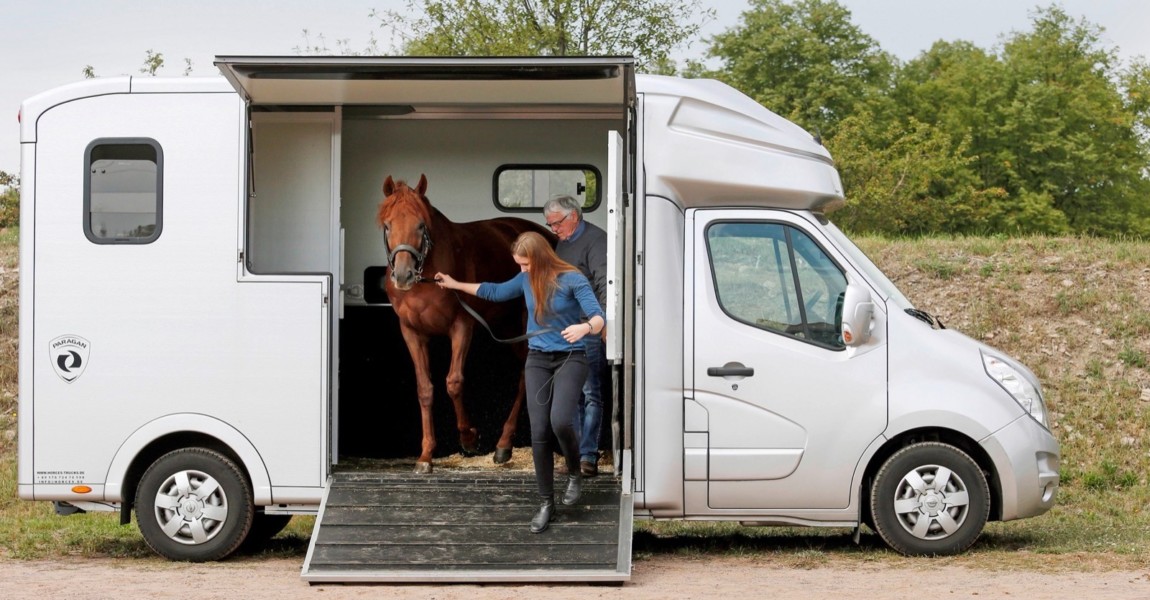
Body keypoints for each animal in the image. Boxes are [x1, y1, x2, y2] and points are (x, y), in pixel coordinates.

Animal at [374, 172, 549, 471]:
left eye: (421, 225)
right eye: (388, 225)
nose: (404, 275)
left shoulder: (462, 326)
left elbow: (454, 382)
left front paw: (469, 438)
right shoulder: (412, 332)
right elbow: (425, 389)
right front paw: (425, 455)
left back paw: (504, 444)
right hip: (507, 327)